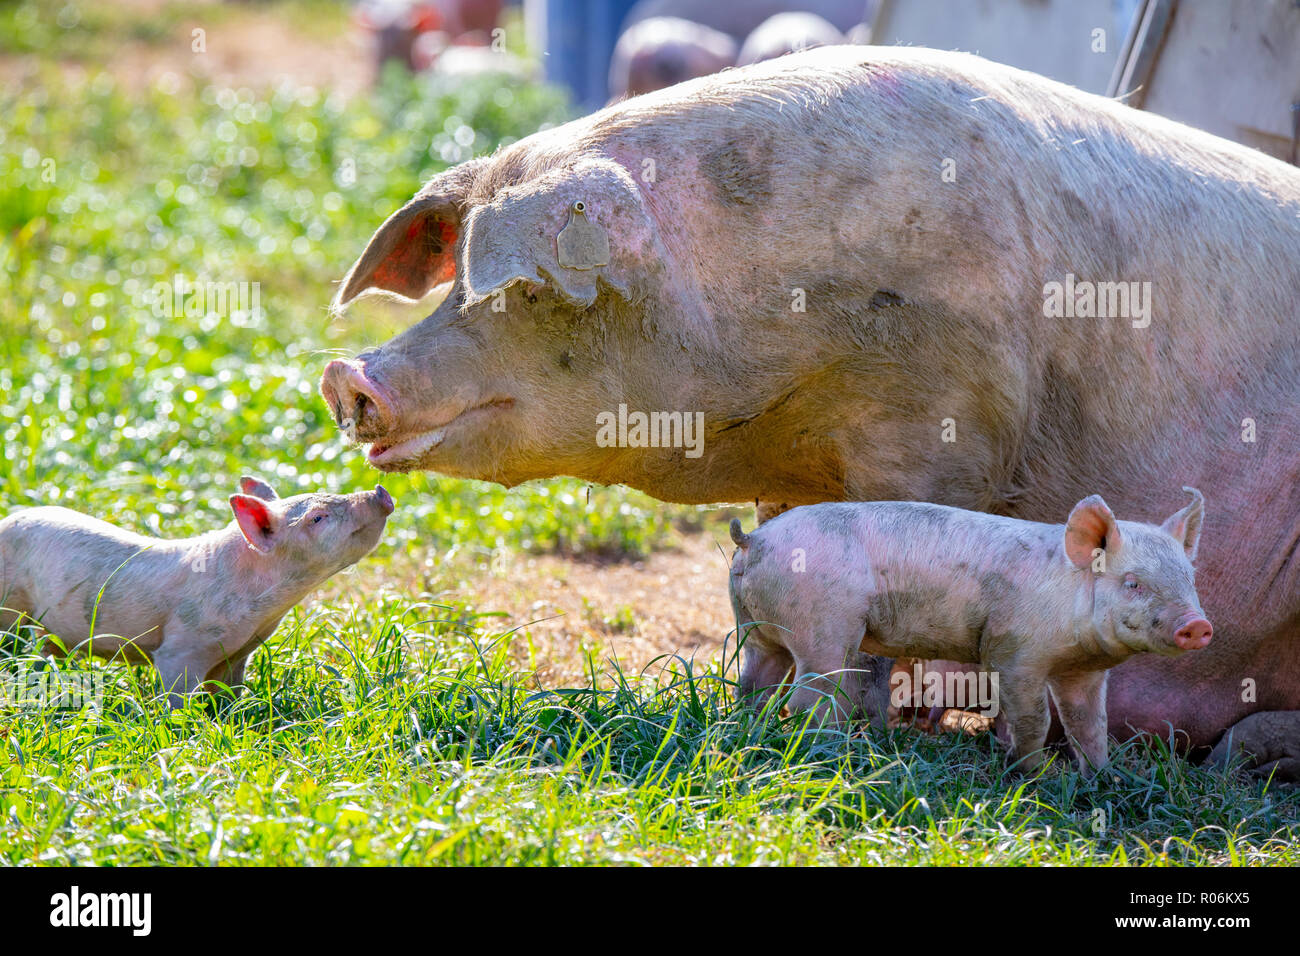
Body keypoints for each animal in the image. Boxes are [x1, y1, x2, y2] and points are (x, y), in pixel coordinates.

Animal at [0, 476, 392, 707]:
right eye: (317, 518)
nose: (380, 492)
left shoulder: (237, 654)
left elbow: (230, 692)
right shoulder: (181, 647)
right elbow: (177, 695)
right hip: (10, 608)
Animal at [728, 489, 1211, 775]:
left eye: (1189, 577)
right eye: (1133, 583)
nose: (1198, 625)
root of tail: (754, 539)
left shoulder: (1084, 672)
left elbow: (1090, 724)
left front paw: (1102, 778)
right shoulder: (1013, 652)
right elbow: (1034, 719)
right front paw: (1031, 775)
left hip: (756, 629)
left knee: (755, 683)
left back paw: (750, 727)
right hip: (823, 630)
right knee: (810, 698)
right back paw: (827, 752)